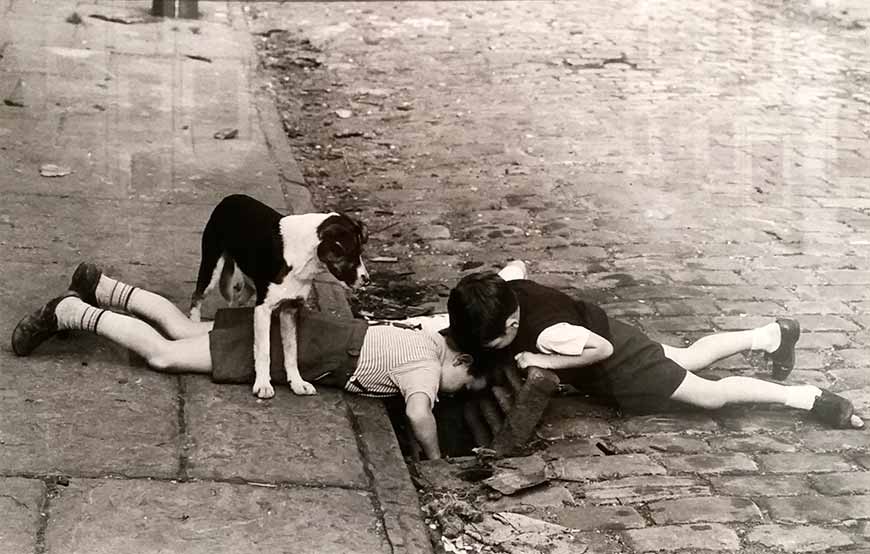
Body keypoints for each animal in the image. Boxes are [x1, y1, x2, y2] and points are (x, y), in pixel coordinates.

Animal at [189, 194, 370, 396]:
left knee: (240, 295)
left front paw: (297, 382)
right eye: (350, 254)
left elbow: (291, 351)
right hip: (211, 268)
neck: (303, 258)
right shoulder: (263, 308)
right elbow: (264, 350)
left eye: (360, 253)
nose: (367, 280)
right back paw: (194, 320)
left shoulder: (289, 309)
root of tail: (229, 198)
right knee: (197, 296)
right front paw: (262, 384)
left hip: (249, 278)